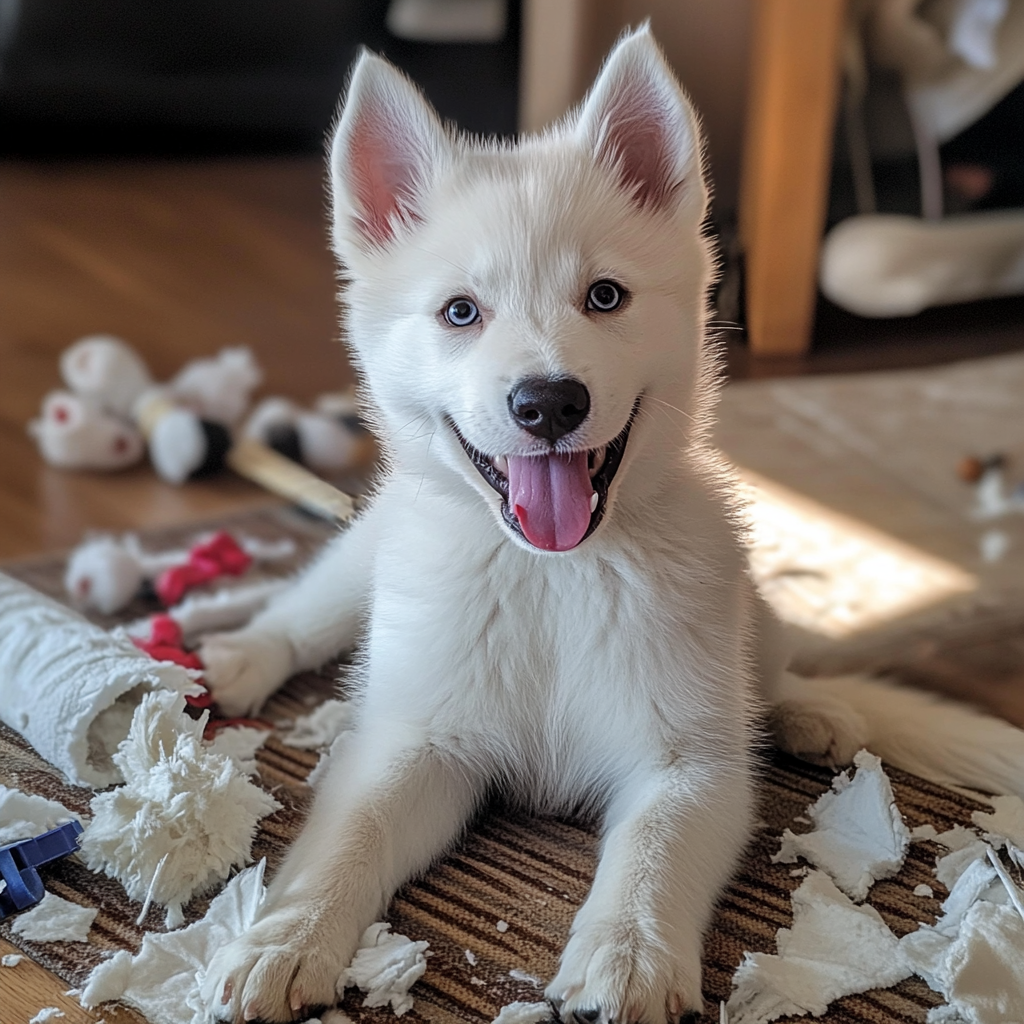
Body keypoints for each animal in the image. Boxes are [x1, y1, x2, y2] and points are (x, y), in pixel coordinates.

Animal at [199, 24, 1024, 1024]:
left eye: (604, 297)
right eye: (460, 312)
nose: (549, 403)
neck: (552, 572)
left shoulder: (687, 766)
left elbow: (656, 853)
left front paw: (626, 955)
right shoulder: (419, 743)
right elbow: (350, 833)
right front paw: (286, 938)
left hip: (747, 613)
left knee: (770, 665)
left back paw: (806, 710)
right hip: (368, 552)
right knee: (311, 607)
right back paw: (242, 655)